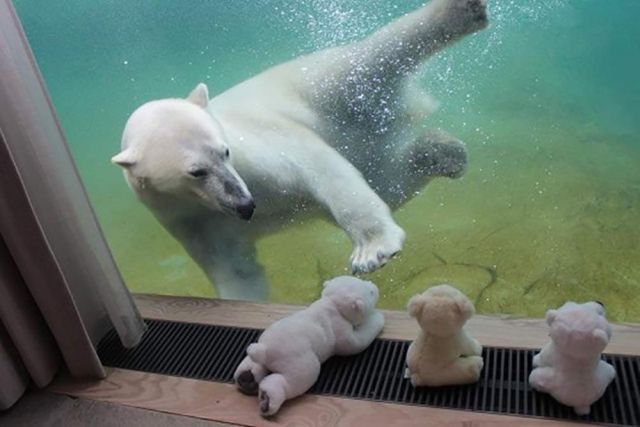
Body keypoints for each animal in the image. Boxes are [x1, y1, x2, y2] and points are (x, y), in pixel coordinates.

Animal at [112, 0, 488, 300]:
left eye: (225, 152)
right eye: (196, 171)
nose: (247, 206)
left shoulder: (261, 145)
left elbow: (319, 167)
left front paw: (372, 252)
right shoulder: (190, 220)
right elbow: (236, 270)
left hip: (320, 82)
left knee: (372, 58)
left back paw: (462, 12)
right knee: (390, 181)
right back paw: (444, 152)